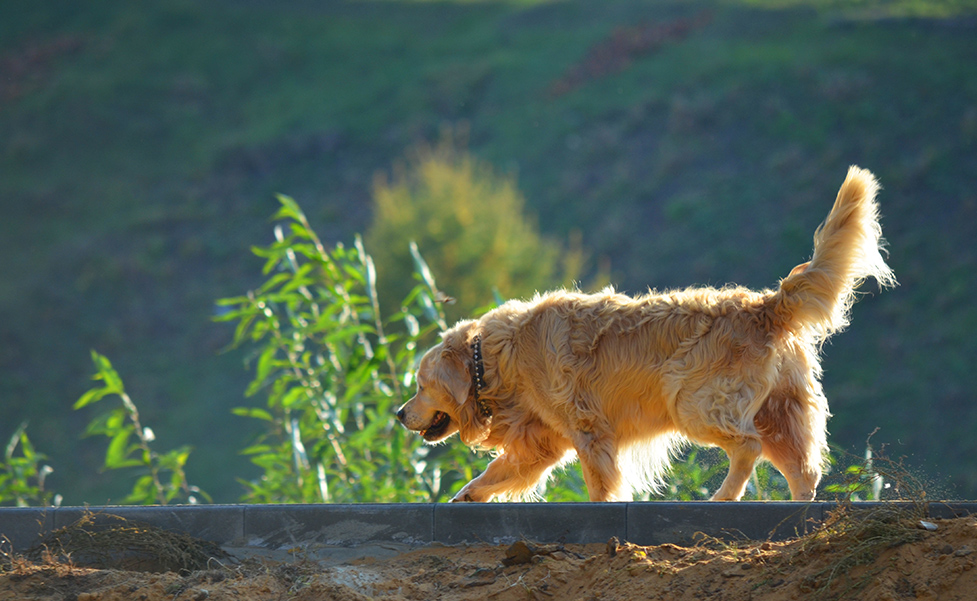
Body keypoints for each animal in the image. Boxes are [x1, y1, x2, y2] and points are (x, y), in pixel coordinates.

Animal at [394, 166, 892, 500]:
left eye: (420, 385)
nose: (399, 414)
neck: (494, 359)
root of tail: (766, 304)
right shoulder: (541, 442)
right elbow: (497, 472)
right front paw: (466, 495)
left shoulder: (589, 431)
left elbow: (599, 484)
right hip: (783, 410)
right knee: (804, 470)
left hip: (693, 402)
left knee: (748, 446)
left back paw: (723, 497)